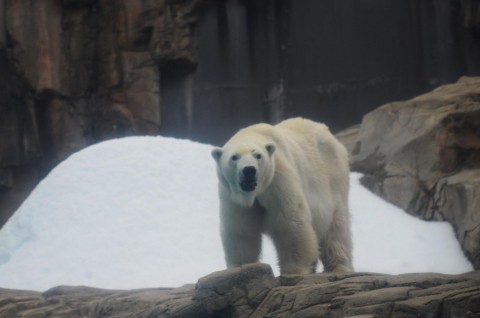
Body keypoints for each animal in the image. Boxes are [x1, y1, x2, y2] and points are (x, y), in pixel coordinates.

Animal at [212, 117, 354, 274]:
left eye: (258, 155)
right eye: (234, 157)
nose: (249, 170)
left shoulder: (278, 179)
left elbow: (290, 223)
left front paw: (294, 270)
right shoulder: (232, 196)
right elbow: (241, 230)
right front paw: (241, 267)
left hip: (334, 180)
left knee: (336, 228)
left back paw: (339, 267)